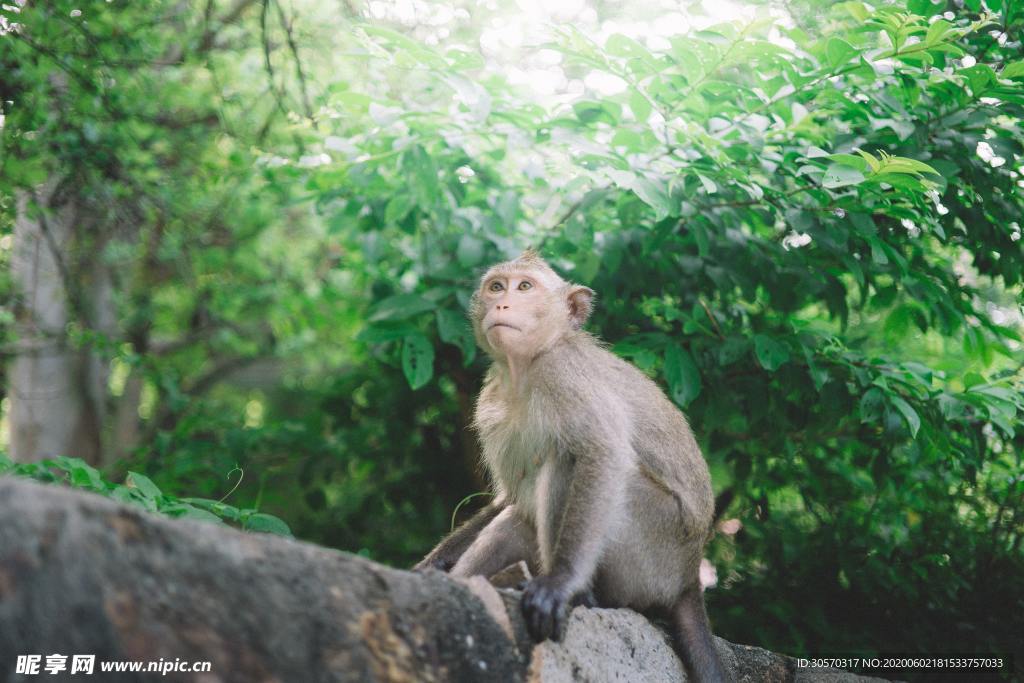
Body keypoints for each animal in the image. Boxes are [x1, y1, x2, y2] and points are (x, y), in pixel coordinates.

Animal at [415, 250, 729, 683]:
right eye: (497, 286)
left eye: (524, 287)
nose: (502, 304)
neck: (527, 367)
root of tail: (688, 578)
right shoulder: (490, 403)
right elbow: (508, 497)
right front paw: (430, 566)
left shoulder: (563, 374)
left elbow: (602, 454)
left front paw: (559, 584)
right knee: (518, 518)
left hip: (653, 550)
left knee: (568, 463)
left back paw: (579, 594)